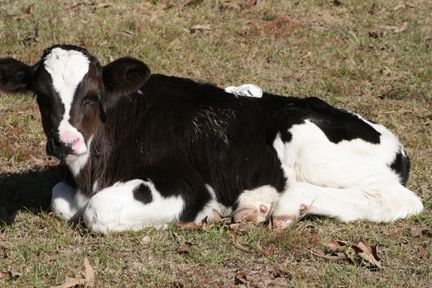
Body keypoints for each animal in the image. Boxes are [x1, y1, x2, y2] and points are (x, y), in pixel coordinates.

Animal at [0, 45, 424, 234]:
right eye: (41, 95)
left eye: (92, 95)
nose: (64, 142)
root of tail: (396, 145)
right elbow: (59, 198)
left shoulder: (187, 184)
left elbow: (97, 211)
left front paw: (207, 214)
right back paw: (261, 205)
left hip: (298, 127)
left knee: (401, 201)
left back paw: (286, 205)